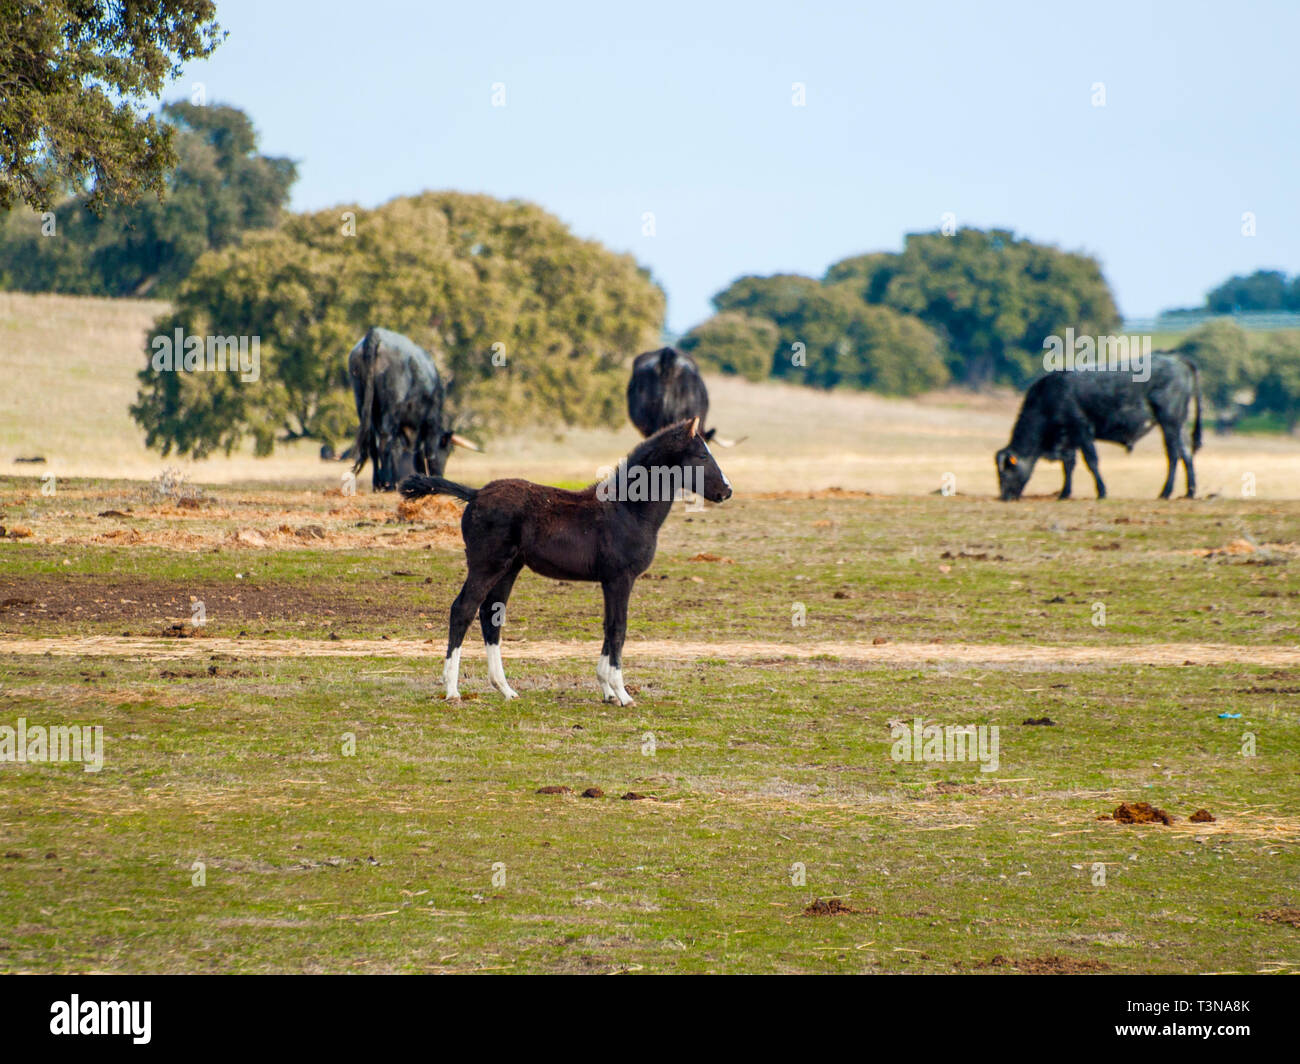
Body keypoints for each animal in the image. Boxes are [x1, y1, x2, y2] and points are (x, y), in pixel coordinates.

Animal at [348, 325, 480, 491]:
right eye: (447, 450)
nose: (440, 475)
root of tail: (375, 333)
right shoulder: (428, 422)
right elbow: (424, 451)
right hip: (391, 406)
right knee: (385, 442)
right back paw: (388, 483)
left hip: (361, 401)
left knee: (372, 443)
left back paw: (377, 483)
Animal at [397, 416, 733, 702]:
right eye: (702, 456)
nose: (727, 491)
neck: (628, 509)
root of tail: (476, 493)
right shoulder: (620, 578)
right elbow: (618, 628)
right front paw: (622, 693)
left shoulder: (609, 581)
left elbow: (607, 626)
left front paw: (607, 691)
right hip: (486, 565)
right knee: (462, 609)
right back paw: (452, 690)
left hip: (509, 568)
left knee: (491, 616)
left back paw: (506, 689)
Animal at [998, 348, 1201, 496]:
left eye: (1006, 470)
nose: (1004, 497)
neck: (1050, 395)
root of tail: (1174, 357)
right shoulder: (1068, 440)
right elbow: (1068, 466)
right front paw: (1064, 493)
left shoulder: (1082, 431)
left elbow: (1091, 462)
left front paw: (1101, 491)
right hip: (1180, 424)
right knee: (1186, 453)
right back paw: (1190, 491)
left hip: (1169, 422)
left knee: (1174, 455)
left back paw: (1166, 492)